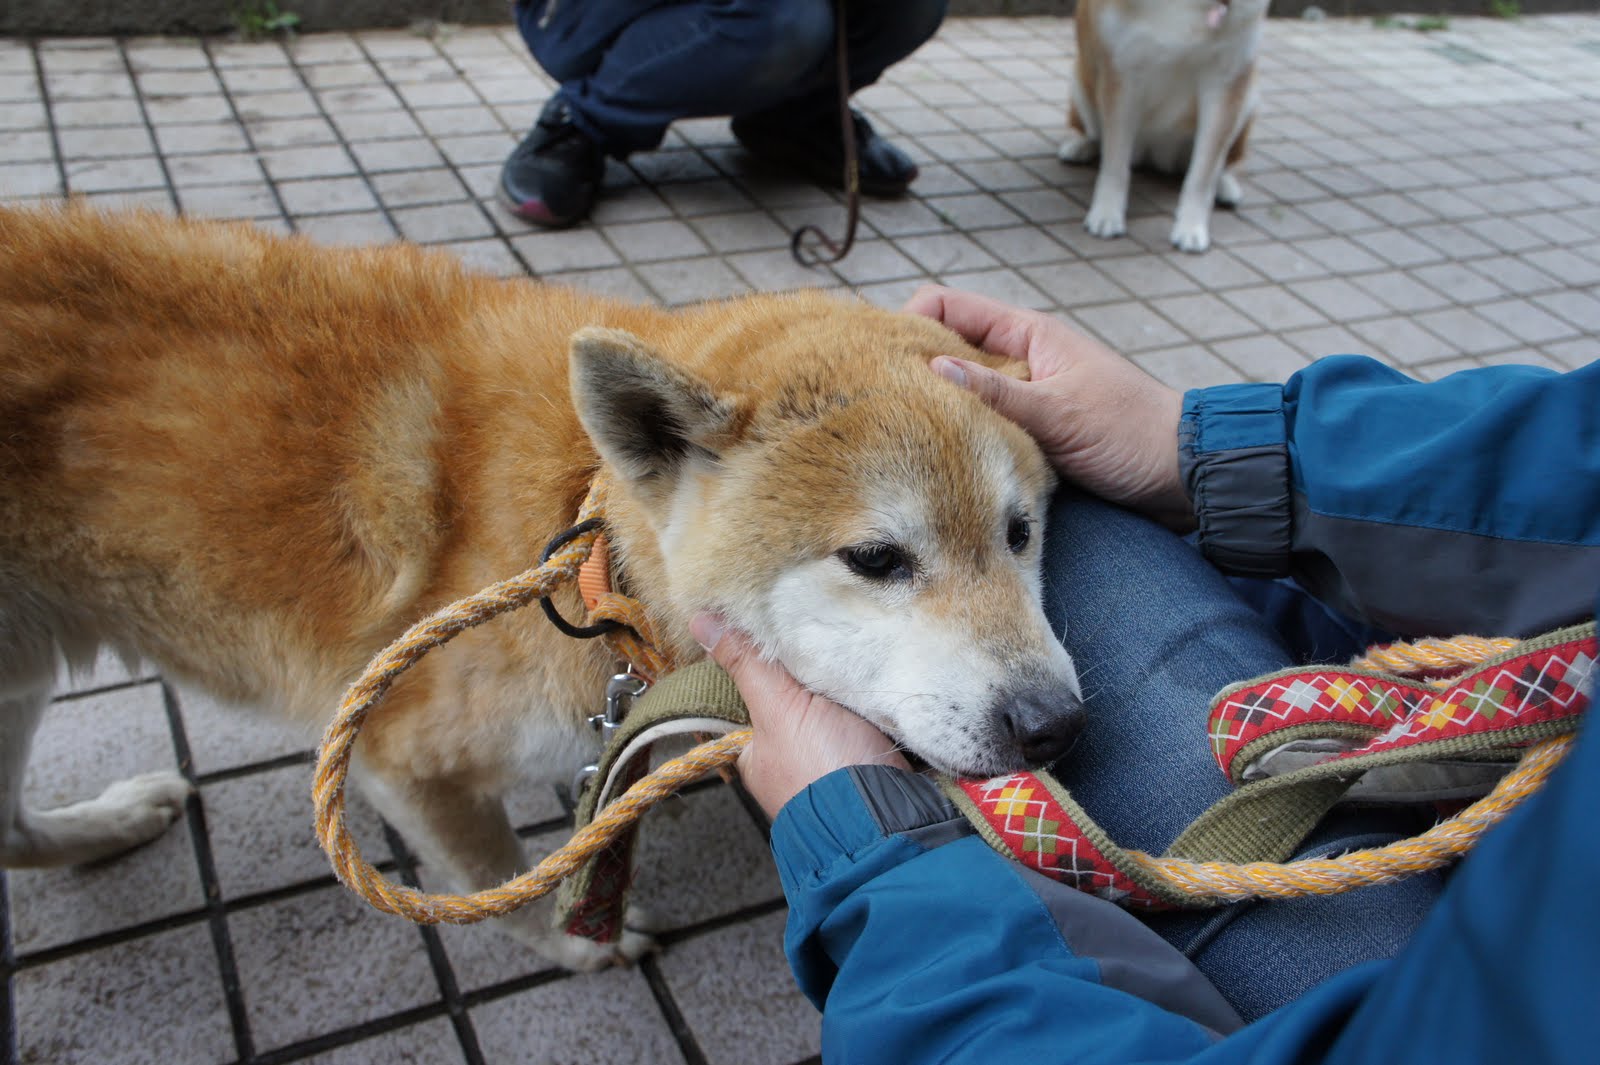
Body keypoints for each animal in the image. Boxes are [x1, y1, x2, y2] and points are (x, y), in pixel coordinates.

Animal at [1056, 0, 1267, 252]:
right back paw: (1080, 147)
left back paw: (1225, 185)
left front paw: (1191, 228)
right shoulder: (1122, 72)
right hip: (1081, 82)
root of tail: (1157, 157)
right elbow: (1115, 164)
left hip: (1248, 94)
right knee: (1096, 135)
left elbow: (1202, 175)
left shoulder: (1225, 81)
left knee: (1222, 159)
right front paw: (1106, 214)